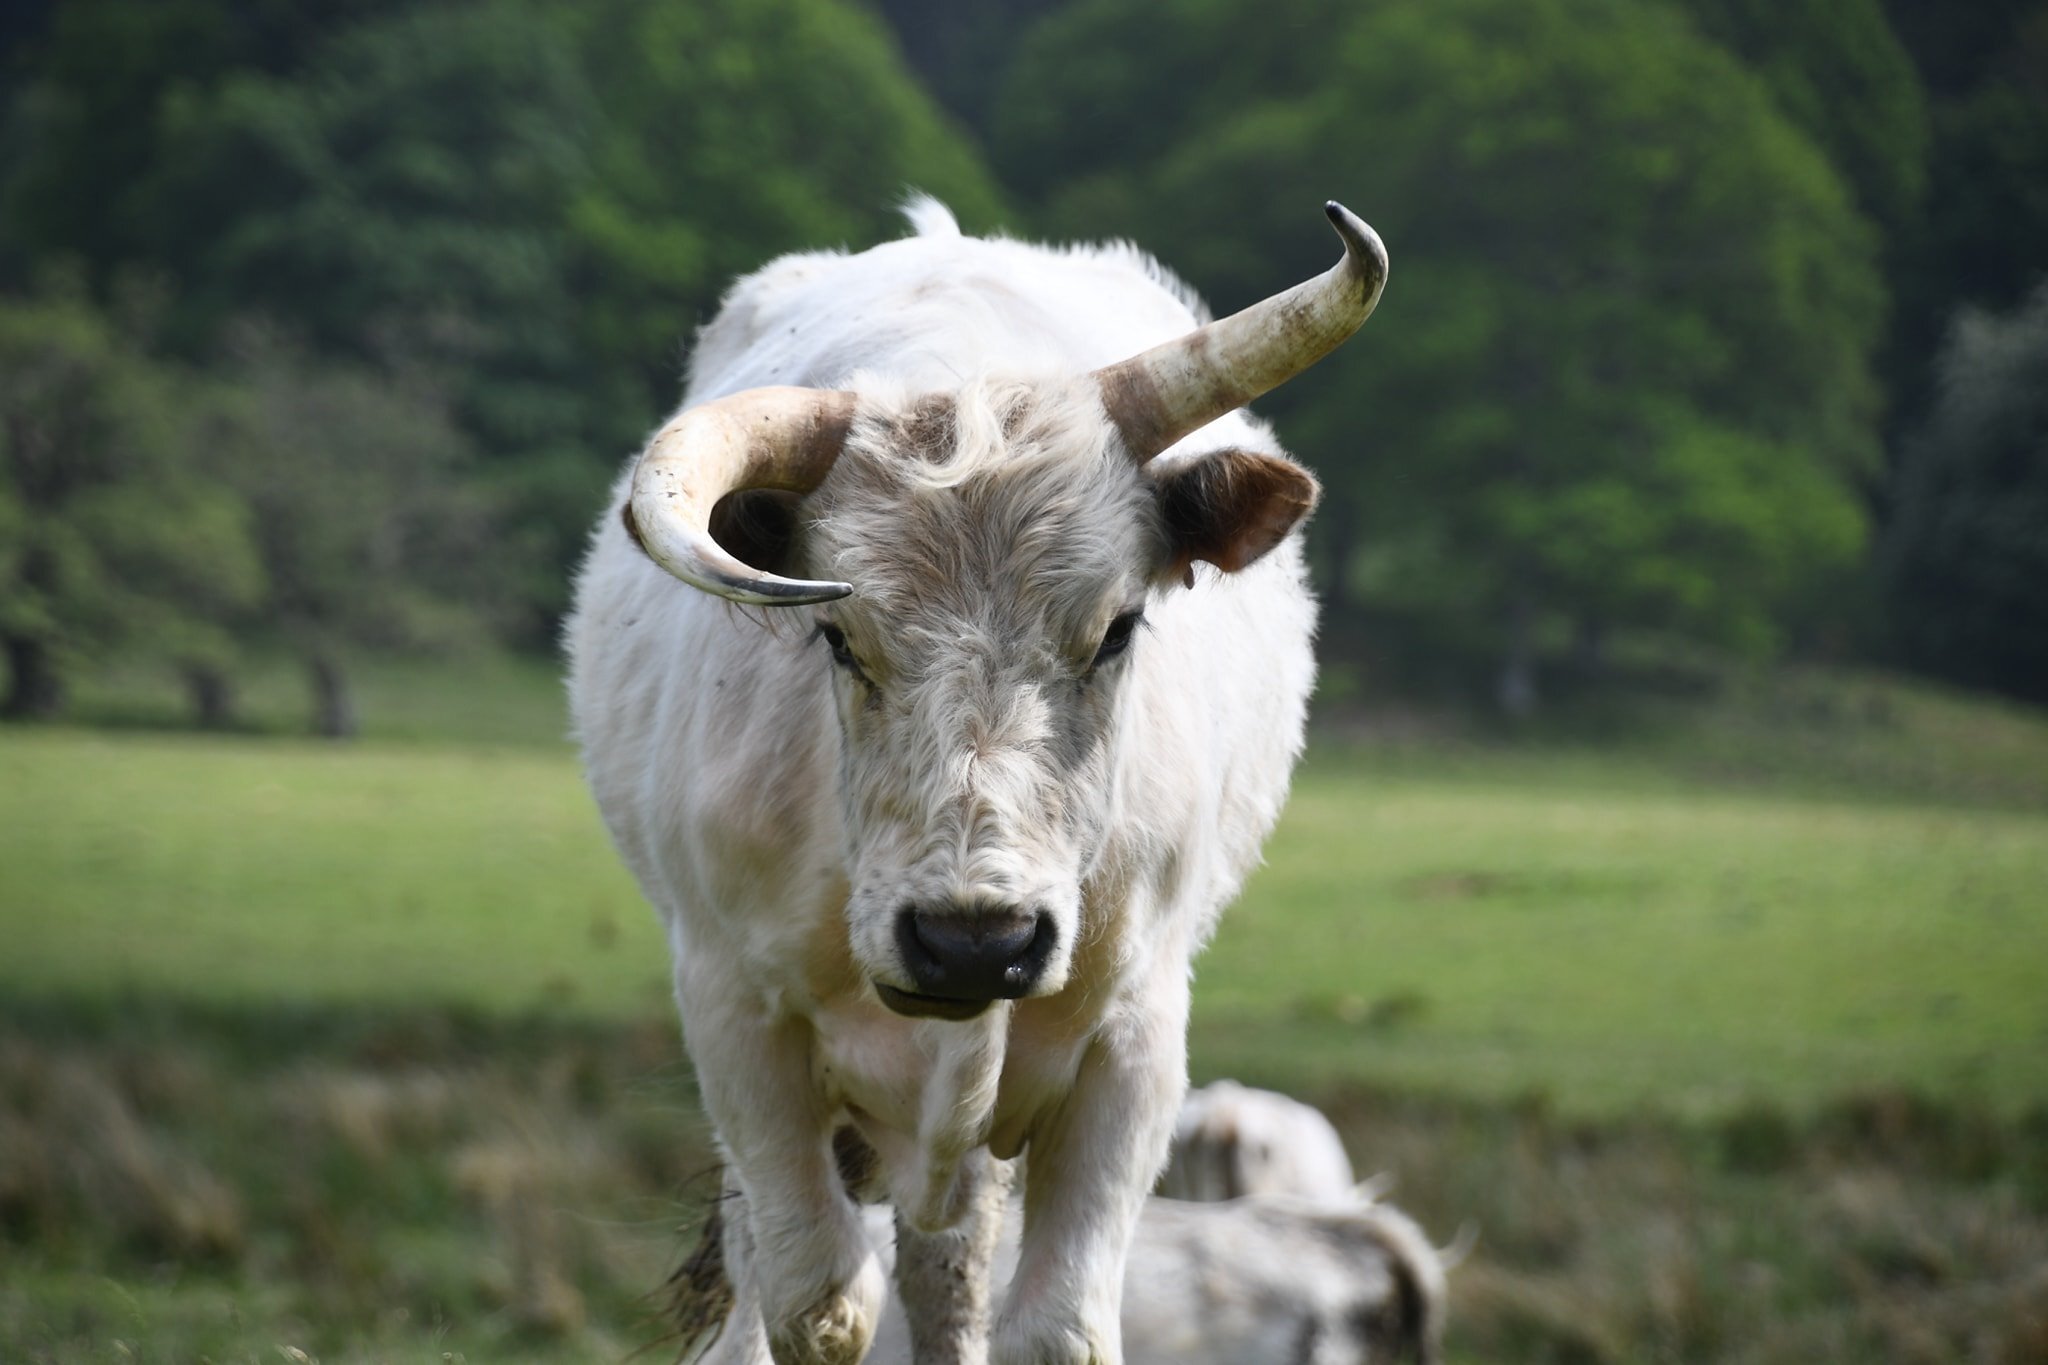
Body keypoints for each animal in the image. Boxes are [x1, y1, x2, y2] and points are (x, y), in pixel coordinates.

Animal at [569, 194, 1384, 1365]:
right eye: (838, 638)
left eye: (1117, 628)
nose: (970, 940)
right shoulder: (733, 1017)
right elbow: (818, 1304)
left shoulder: (1134, 1045)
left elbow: (1059, 1327)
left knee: (948, 1267)